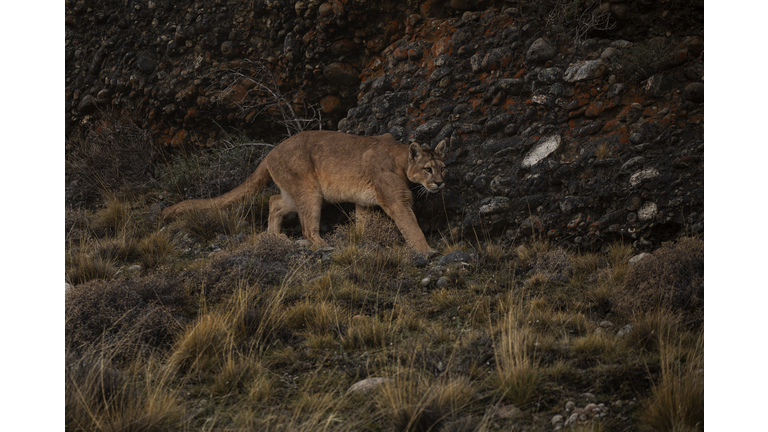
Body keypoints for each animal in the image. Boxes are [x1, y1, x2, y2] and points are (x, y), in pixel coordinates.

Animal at [162, 131, 446, 253]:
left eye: (443, 167)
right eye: (428, 169)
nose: (441, 183)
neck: (400, 158)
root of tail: (270, 152)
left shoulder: (364, 201)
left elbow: (364, 222)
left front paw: (363, 240)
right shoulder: (397, 201)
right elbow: (411, 226)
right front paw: (427, 251)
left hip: (296, 192)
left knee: (275, 201)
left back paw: (274, 236)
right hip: (310, 191)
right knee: (307, 227)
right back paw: (324, 245)